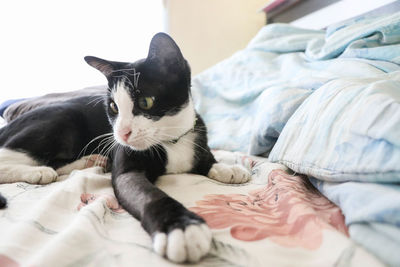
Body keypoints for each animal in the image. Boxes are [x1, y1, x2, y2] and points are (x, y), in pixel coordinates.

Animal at [0, 31, 250, 264]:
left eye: (145, 102)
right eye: (113, 107)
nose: (121, 133)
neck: (172, 140)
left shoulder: (194, 133)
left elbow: (206, 157)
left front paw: (227, 168)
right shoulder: (127, 169)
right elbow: (148, 195)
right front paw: (181, 226)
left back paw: (90, 160)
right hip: (62, 119)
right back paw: (38, 172)